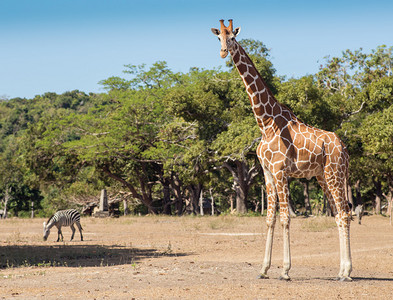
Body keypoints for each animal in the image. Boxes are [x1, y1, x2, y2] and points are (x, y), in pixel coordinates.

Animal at [211, 18, 352, 282]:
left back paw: (347, 272)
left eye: (232, 38)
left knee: (345, 213)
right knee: (338, 215)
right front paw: (263, 269)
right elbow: (270, 219)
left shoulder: (279, 171)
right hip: (322, 177)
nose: (224, 52)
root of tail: (345, 149)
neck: (266, 122)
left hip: (335, 174)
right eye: (218, 38)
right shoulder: (267, 172)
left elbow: (286, 218)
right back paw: (340, 271)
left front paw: (285, 271)